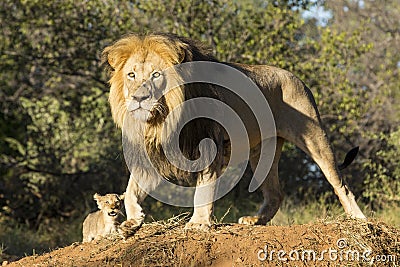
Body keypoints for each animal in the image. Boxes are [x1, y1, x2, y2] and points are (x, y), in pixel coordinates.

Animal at [102, 33, 366, 237]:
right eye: (131, 75)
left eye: (156, 75)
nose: (139, 98)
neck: (161, 120)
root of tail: (295, 77)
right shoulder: (152, 154)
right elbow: (131, 190)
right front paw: (132, 222)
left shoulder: (209, 147)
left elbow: (203, 190)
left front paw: (198, 223)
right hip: (262, 152)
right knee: (275, 193)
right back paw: (255, 221)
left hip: (315, 137)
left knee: (340, 184)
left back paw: (360, 220)